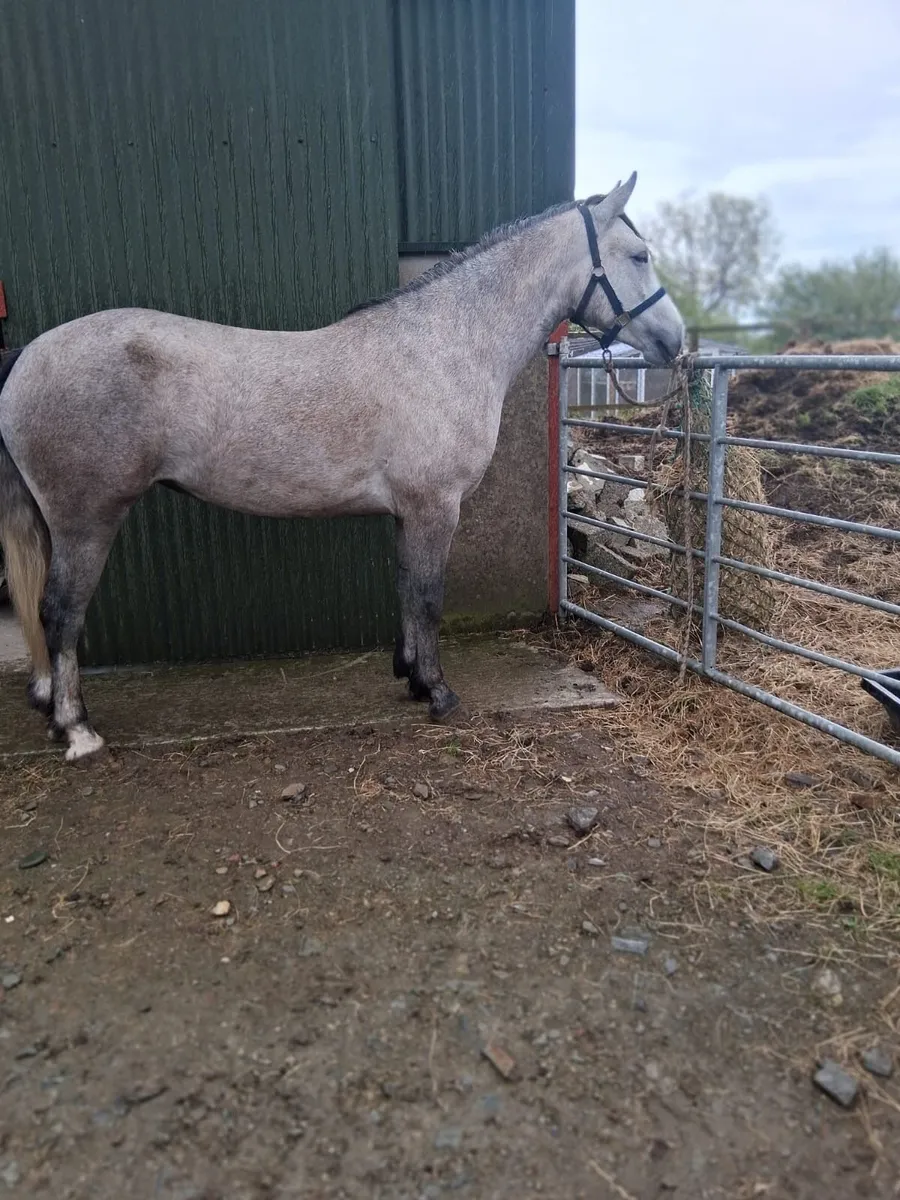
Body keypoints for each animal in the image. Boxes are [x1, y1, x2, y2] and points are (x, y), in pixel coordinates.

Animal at [0, 172, 684, 762]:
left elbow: (405, 588)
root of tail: (28, 356)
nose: (676, 343)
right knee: (60, 613)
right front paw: (439, 693)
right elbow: (428, 596)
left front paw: (411, 677)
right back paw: (77, 730)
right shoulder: (435, 507)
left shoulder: (409, 512)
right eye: (639, 255)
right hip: (86, 521)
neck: (444, 346)